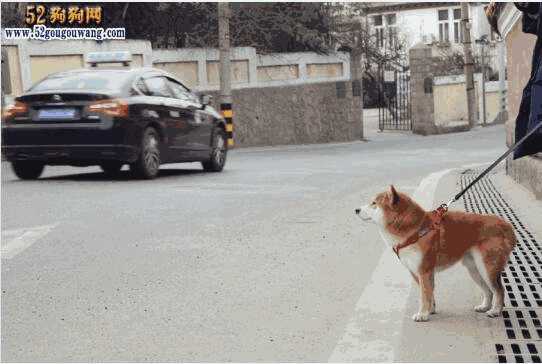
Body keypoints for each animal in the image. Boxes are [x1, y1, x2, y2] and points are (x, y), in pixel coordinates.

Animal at [362, 188, 520, 322]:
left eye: (374, 203)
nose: (357, 209)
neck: (416, 229)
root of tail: (506, 225)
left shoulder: (423, 271)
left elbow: (424, 295)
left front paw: (422, 314)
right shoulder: (418, 272)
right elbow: (429, 293)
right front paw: (430, 310)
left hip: (487, 268)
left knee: (499, 290)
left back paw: (495, 311)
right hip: (475, 269)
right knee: (488, 291)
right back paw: (485, 306)